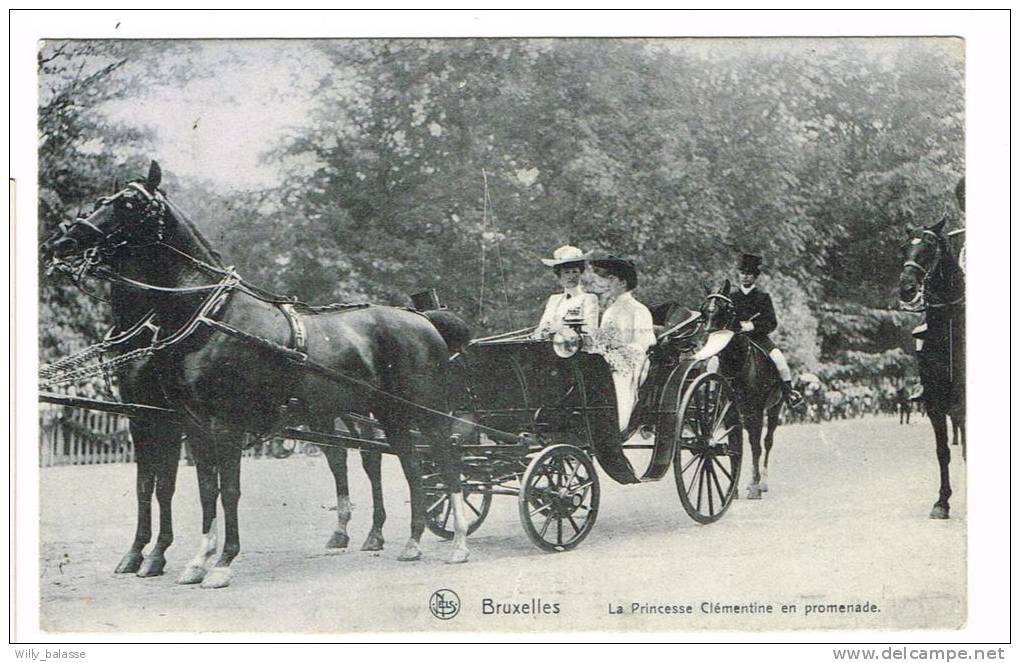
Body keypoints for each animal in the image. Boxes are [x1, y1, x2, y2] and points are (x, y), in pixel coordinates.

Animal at [38, 162, 469, 587]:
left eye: (129, 203)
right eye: (101, 201)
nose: (62, 242)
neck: (209, 315)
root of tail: (424, 320)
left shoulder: (218, 422)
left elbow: (225, 490)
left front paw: (220, 562)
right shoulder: (184, 422)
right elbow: (200, 490)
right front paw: (195, 561)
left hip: (425, 412)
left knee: (444, 461)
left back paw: (458, 543)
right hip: (383, 413)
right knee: (406, 465)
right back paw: (408, 541)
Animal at [697, 281, 783, 497]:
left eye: (724, 309)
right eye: (704, 310)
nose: (708, 338)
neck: (736, 362)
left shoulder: (756, 411)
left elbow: (755, 446)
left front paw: (754, 487)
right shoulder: (729, 413)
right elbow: (735, 446)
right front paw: (733, 489)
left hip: (774, 409)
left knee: (766, 442)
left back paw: (762, 482)